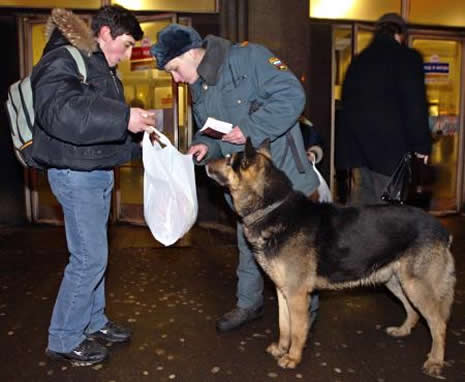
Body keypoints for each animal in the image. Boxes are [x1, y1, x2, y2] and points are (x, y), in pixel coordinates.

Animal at [206, 138, 454, 380]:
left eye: (228, 160)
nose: (205, 162)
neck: (271, 208)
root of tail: (442, 229)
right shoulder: (283, 292)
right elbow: (284, 325)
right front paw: (281, 348)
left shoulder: (297, 295)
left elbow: (297, 330)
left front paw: (292, 357)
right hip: (396, 282)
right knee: (414, 312)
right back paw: (403, 331)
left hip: (416, 286)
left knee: (439, 324)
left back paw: (435, 361)